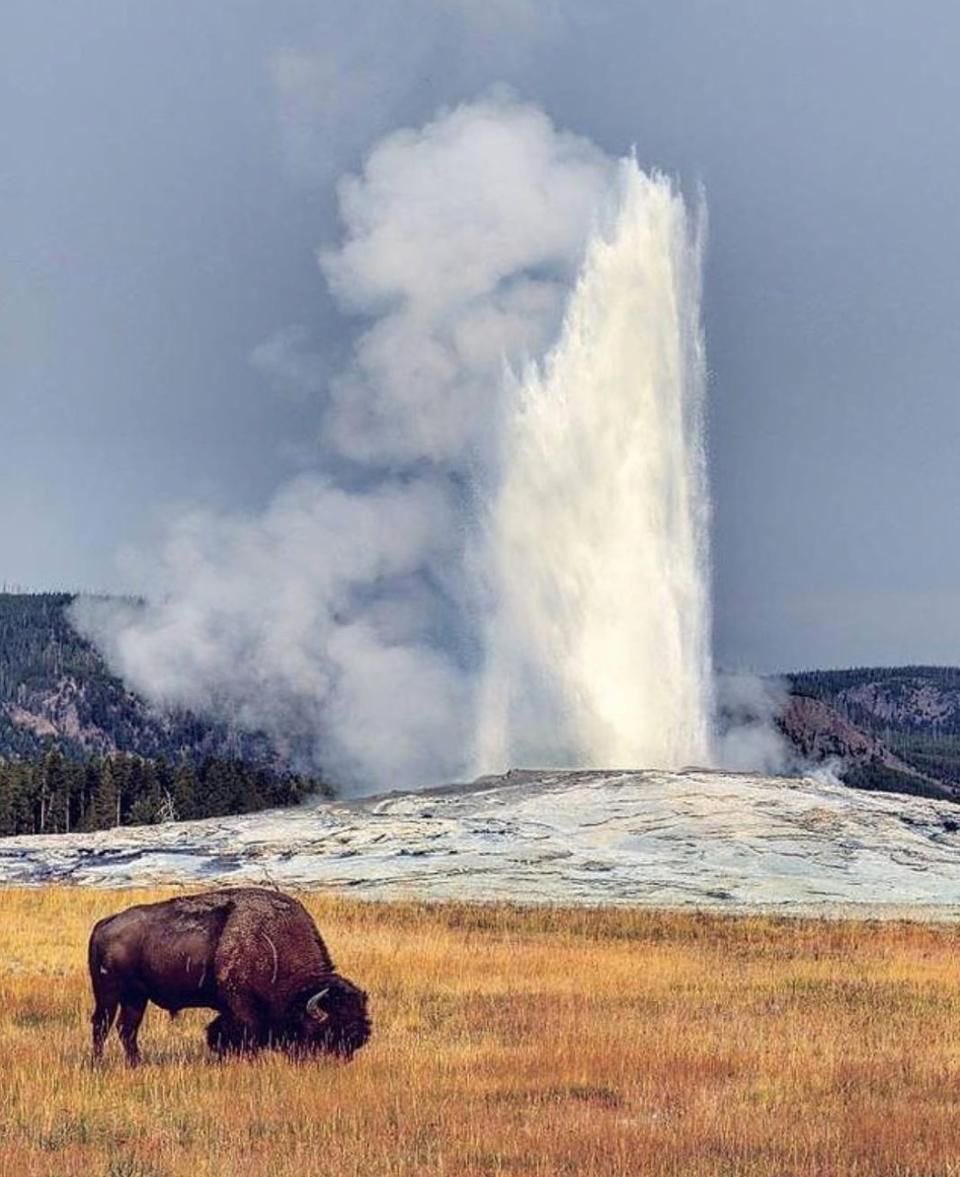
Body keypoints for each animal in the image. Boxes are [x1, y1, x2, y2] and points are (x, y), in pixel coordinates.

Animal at [88, 885, 371, 1068]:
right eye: (327, 1031)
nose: (341, 1060)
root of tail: (106, 922)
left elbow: (219, 1034)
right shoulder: (242, 1006)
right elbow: (244, 1036)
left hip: (136, 997)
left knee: (127, 1029)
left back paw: (136, 1064)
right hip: (108, 993)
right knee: (102, 1026)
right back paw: (99, 1063)